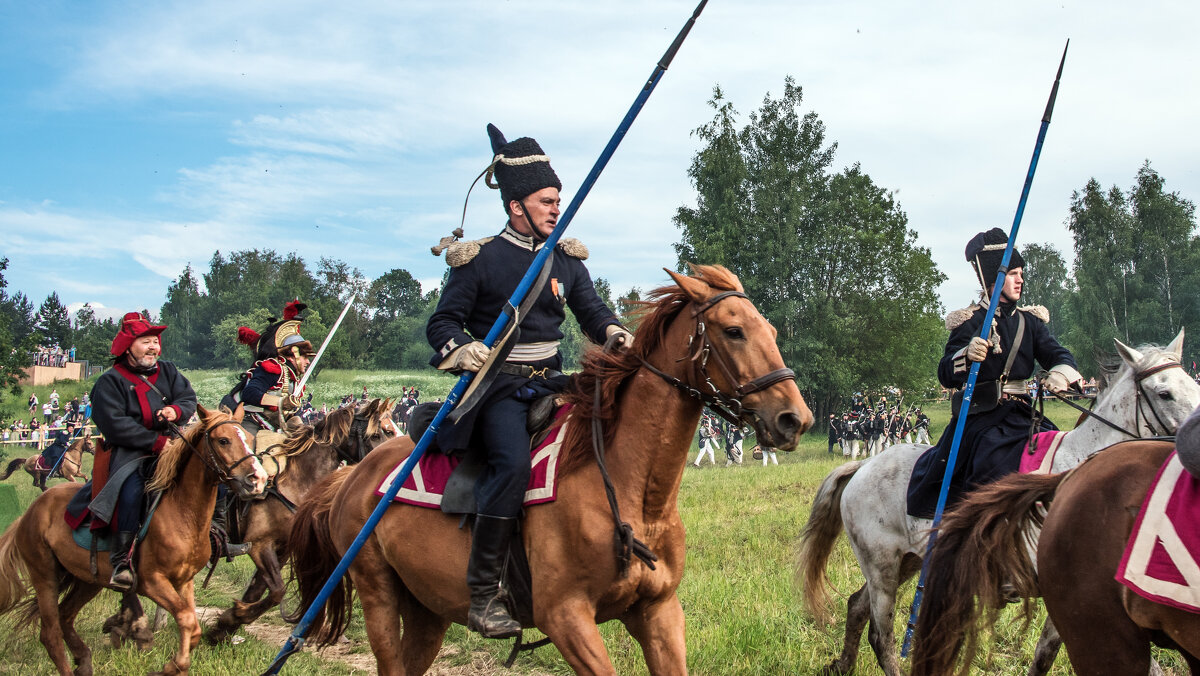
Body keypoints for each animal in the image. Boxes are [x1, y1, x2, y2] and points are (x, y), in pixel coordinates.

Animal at [0, 408, 267, 676]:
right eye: (223, 440)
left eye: (248, 438)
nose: (258, 479)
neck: (181, 511)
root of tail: (28, 514)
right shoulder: (152, 582)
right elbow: (186, 619)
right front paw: (170, 665)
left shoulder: (184, 581)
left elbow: (192, 627)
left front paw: (173, 665)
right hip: (45, 576)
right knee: (50, 633)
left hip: (87, 580)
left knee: (65, 617)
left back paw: (84, 660)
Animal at [204, 396, 396, 643]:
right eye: (379, 434)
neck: (294, 480)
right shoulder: (259, 545)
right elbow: (277, 591)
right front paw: (232, 620)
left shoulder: (282, 549)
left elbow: (257, 591)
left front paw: (225, 625)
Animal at [285, 265, 811, 676]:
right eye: (733, 331)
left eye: (772, 332)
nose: (795, 419)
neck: (634, 491)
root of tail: (352, 476)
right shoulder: (566, 619)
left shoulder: (659, 612)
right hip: (378, 595)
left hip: (427, 609)